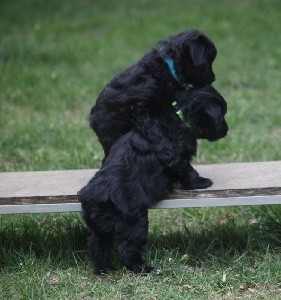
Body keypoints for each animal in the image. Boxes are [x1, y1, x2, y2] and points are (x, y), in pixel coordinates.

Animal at [77, 85, 226, 274]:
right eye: (221, 117)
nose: (226, 130)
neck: (179, 115)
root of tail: (91, 198)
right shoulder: (178, 157)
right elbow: (187, 170)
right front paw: (201, 182)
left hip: (100, 226)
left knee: (97, 244)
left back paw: (105, 268)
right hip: (134, 222)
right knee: (127, 247)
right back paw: (144, 268)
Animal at [89, 29, 217, 158]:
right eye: (208, 60)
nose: (213, 78)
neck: (169, 67)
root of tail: (92, 118)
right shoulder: (140, 109)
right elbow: (153, 129)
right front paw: (164, 147)